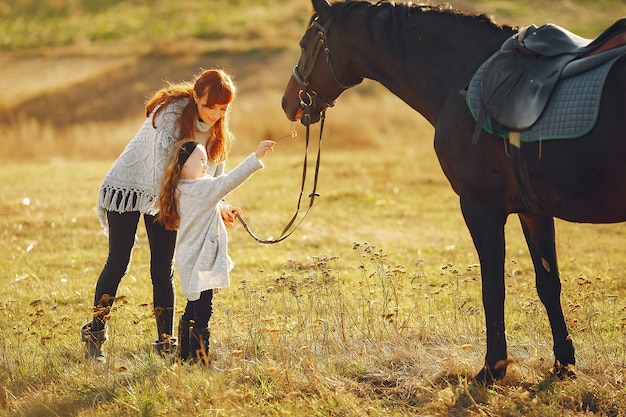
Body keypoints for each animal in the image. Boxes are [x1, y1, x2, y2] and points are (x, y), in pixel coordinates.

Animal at [280, 0, 624, 384]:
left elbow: (493, 289)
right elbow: (548, 284)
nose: (288, 102)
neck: (464, 72)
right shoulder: (533, 211)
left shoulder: (481, 207)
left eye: (305, 43)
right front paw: (564, 364)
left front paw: (492, 369)